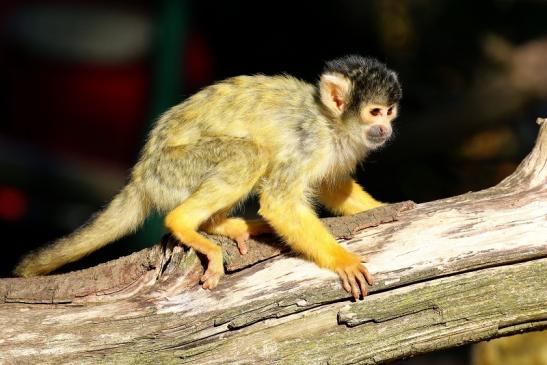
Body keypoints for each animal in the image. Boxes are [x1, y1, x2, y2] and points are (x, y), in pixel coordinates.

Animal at [13, 54, 402, 298]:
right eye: (374, 112)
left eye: (390, 112)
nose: (385, 129)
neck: (332, 123)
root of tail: (142, 175)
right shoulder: (310, 141)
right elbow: (280, 201)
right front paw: (343, 260)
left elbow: (332, 188)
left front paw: (386, 207)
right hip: (174, 169)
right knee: (249, 156)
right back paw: (185, 223)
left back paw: (217, 224)